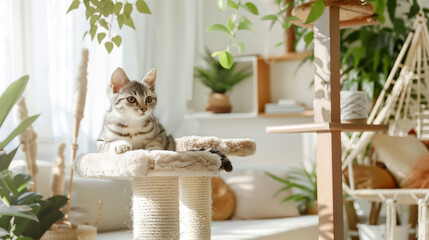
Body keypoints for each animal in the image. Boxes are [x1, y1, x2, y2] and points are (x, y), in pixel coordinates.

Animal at [97, 68, 232, 172]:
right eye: (131, 99)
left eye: (148, 99)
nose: (144, 108)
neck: (133, 124)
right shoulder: (100, 141)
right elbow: (108, 144)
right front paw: (121, 145)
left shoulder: (161, 133)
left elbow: (155, 141)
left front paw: (152, 150)